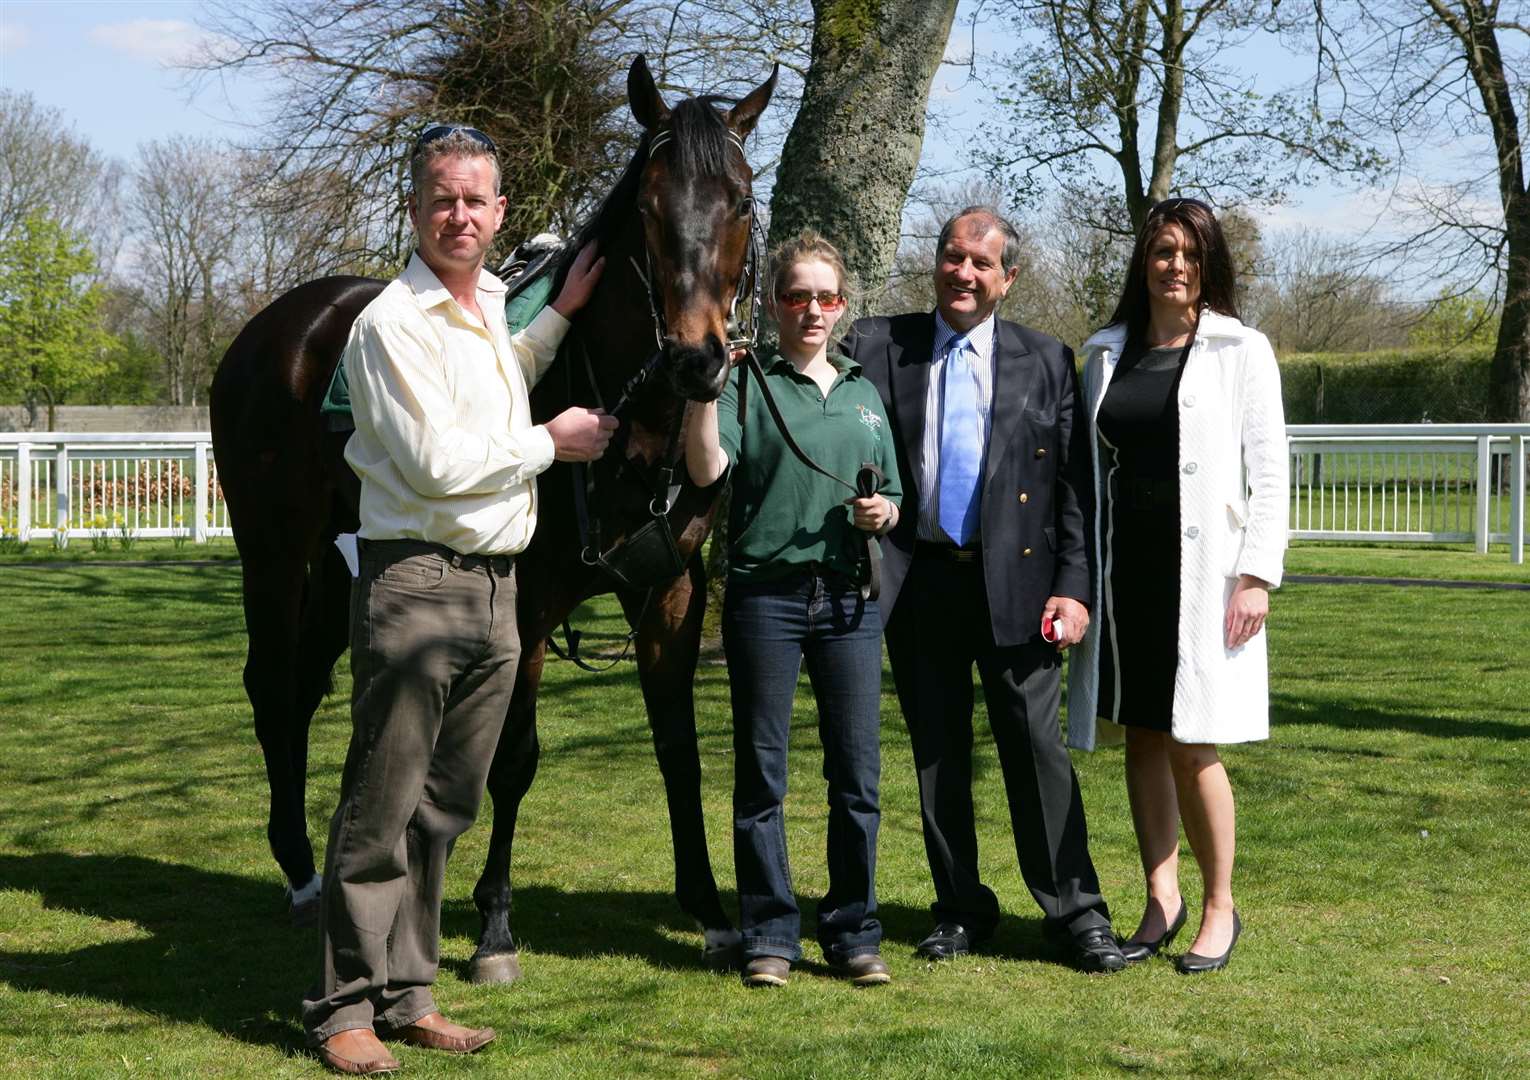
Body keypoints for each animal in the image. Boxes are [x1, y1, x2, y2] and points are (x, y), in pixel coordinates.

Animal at [209, 61, 771, 985]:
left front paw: (713, 913)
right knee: (270, 687)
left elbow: (679, 749)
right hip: (273, 551)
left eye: (743, 201)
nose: (697, 360)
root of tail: (276, 328)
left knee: (302, 686)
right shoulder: (530, 600)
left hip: (337, 562)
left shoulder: (671, 593)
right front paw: (497, 926)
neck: (633, 422)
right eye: (651, 207)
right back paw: (297, 869)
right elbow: (514, 760)